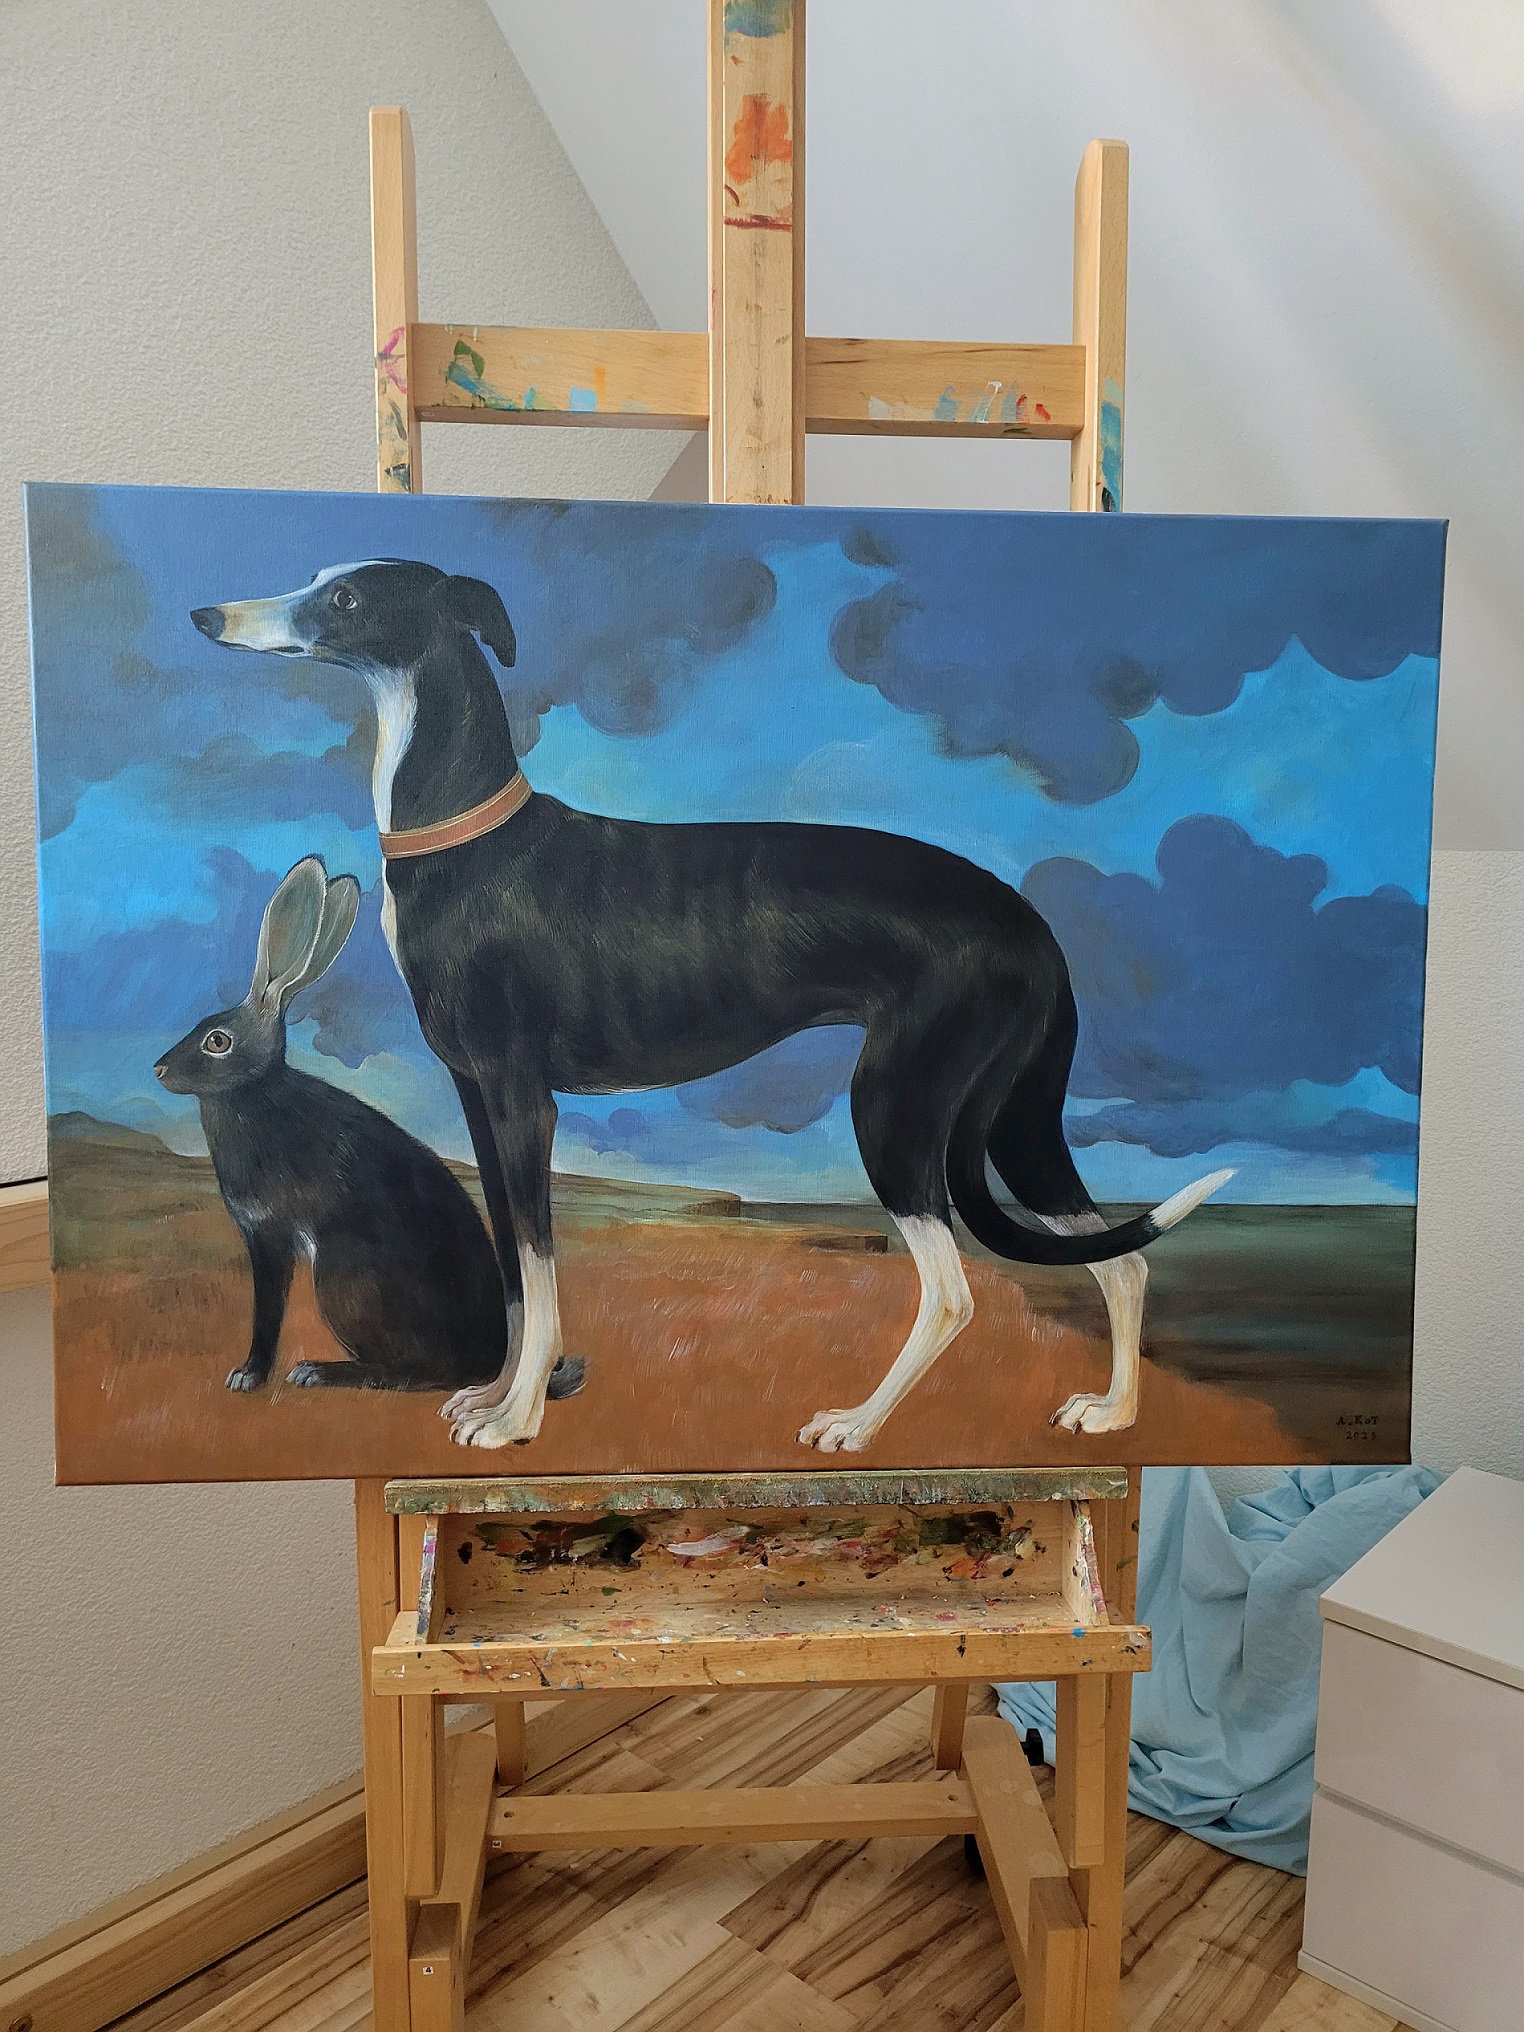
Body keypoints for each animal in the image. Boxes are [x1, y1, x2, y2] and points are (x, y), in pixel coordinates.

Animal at [192, 560, 1230, 1452]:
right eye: (320, 578)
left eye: (349, 597)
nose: (209, 616)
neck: (470, 842)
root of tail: (1034, 927)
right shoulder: (478, 1099)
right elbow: (517, 1269)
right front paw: (496, 1393)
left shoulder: (524, 1099)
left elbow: (540, 1261)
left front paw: (518, 1418)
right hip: (1017, 1117)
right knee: (1122, 1257)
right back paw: (1114, 1413)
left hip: (897, 1106)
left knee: (952, 1291)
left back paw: (856, 1425)